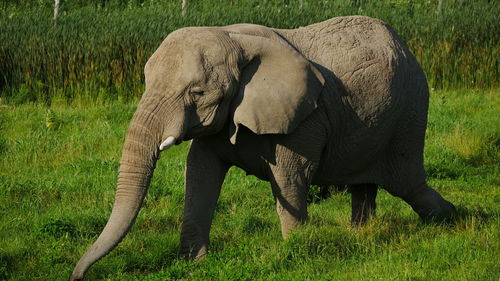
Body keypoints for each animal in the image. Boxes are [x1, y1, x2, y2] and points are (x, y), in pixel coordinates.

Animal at [70, 15, 458, 280]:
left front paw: (296, 252)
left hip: (410, 111)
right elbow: (199, 174)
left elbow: (290, 176)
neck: (234, 39)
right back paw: (363, 235)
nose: (78, 276)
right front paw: (193, 262)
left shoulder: (305, 117)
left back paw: (454, 221)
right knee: (367, 185)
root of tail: (405, 45)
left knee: (407, 183)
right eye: (146, 81)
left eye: (197, 93)